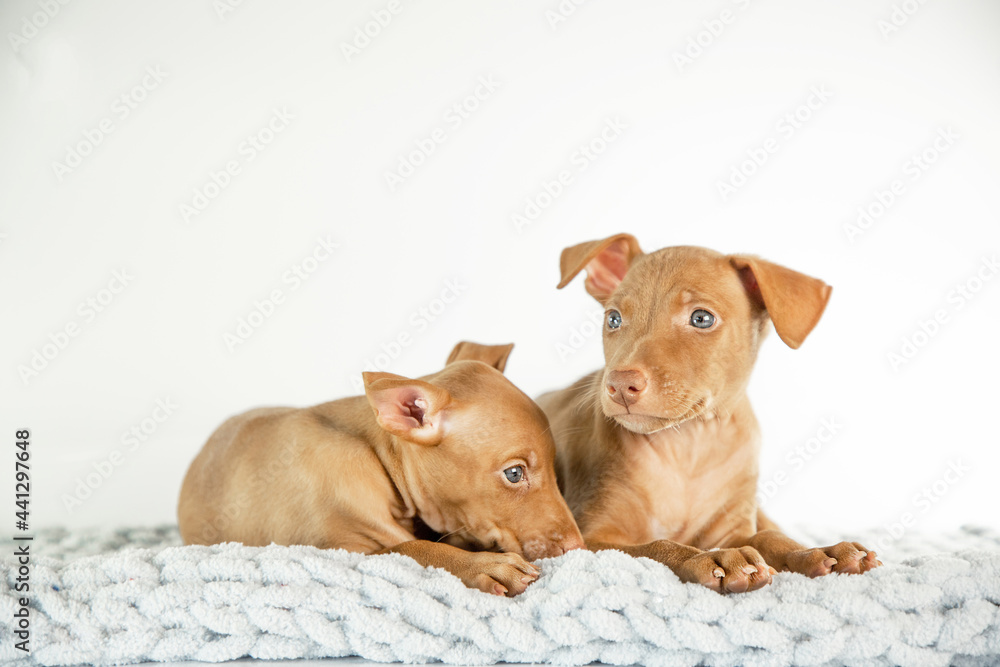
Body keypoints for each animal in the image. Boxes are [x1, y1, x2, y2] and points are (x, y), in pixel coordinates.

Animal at [180, 342, 584, 596]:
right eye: (514, 474)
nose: (578, 547)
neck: (379, 458)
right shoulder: (340, 552)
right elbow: (413, 549)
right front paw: (485, 566)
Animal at [540, 235, 884, 596]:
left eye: (702, 319)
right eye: (613, 319)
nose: (619, 384)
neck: (689, 442)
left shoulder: (733, 530)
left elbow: (769, 538)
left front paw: (814, 552)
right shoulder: (591, 541)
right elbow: (657, 546)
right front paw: (708, 558)